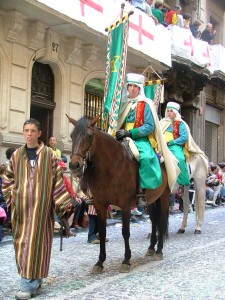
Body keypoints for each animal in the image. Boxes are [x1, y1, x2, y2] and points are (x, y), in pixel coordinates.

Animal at [67, 115, 170, 274]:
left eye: (89, 135)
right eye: (72, 135)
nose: (74, 165)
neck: (111, 166)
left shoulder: (125, 205)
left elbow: (125, 232)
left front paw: (126, 260)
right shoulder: (100, 204)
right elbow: (102, 232)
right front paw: (100, 262)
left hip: (164, 197)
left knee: (162, 221)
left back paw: (159, 251)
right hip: (152, 200)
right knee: (154, 221)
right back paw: (151, 248)